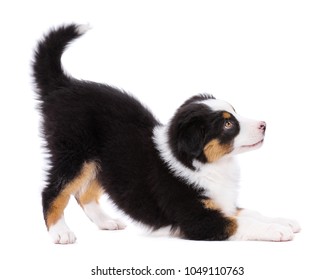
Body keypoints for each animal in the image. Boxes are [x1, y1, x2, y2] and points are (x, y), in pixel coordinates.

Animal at [32, 24, 300, 243]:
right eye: (227, 124)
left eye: (235, 112)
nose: (264, 124)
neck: (205, 164)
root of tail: (63, 85)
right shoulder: (198, 219)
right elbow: (241, 222)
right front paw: (277, 230)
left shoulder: (222, 203)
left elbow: (250, 211)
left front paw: (284, 220)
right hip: (73, 153)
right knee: (52, 191)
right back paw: (61, 233)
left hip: (102, 162)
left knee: (84, 193)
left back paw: (107, 222)